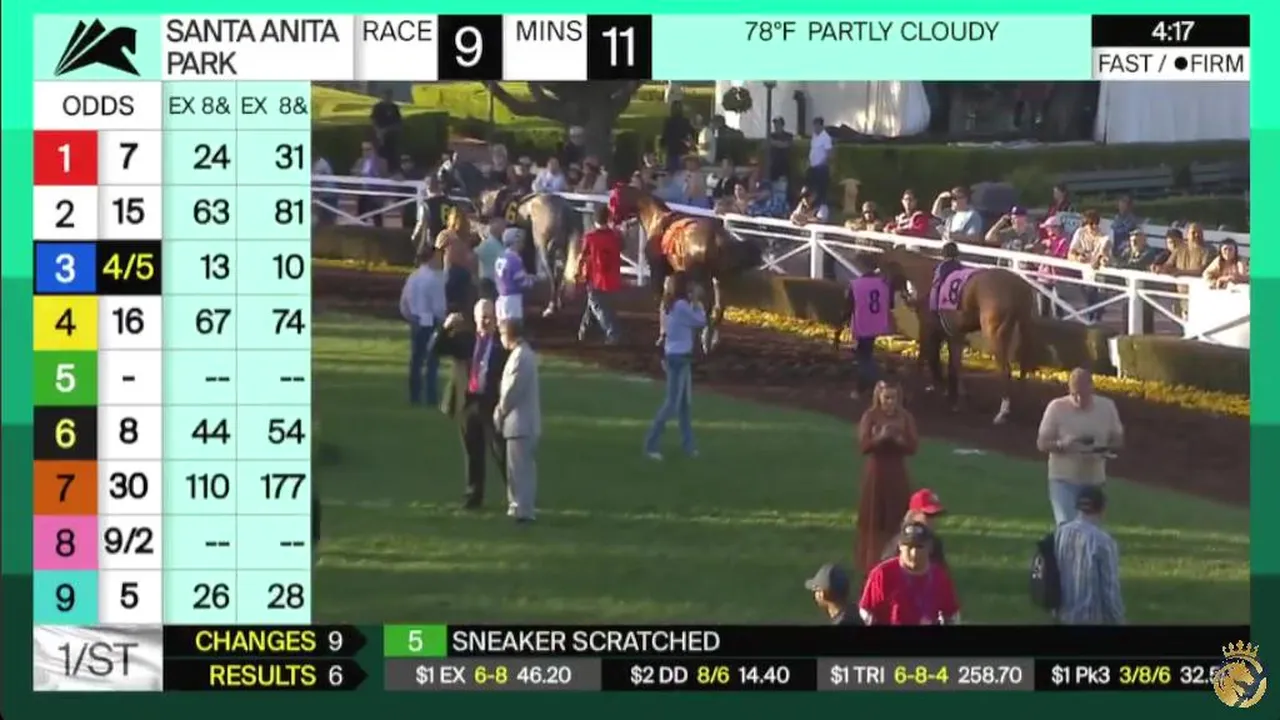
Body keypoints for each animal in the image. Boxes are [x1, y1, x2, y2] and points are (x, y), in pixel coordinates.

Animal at [478, 186, 583, 317]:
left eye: (483, 202)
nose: (480, 216)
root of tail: (566, 210)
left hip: (544, 247)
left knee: (553, 277)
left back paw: (551, 307)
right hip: (560, 249)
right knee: (559, 274)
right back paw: (557, 302)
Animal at [608, 184, 763, 353]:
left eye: (613, 200)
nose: (612, 220)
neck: (656, 218)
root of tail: (718, 237)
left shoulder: (658, 271)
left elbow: (662, 301)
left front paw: (663, 336)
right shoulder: (674, 273)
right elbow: (673, 301)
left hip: (703, 278)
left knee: (708, 308)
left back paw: (706, 341)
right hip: (720, 279)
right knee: (718, 309)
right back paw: (713, 340)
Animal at [875, 246, 1038, 424]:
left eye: (882, 269)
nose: (887, 301)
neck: (928, 276)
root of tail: (1017, 287)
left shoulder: (928, 329)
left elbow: (925, 357)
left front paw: (915, 393)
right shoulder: (952, 333)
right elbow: (953, 363)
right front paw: (954, 393)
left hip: (995, 333)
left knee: (1006, 370)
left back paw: (1002, 412)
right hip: (1022, 328)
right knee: (1023, 367)